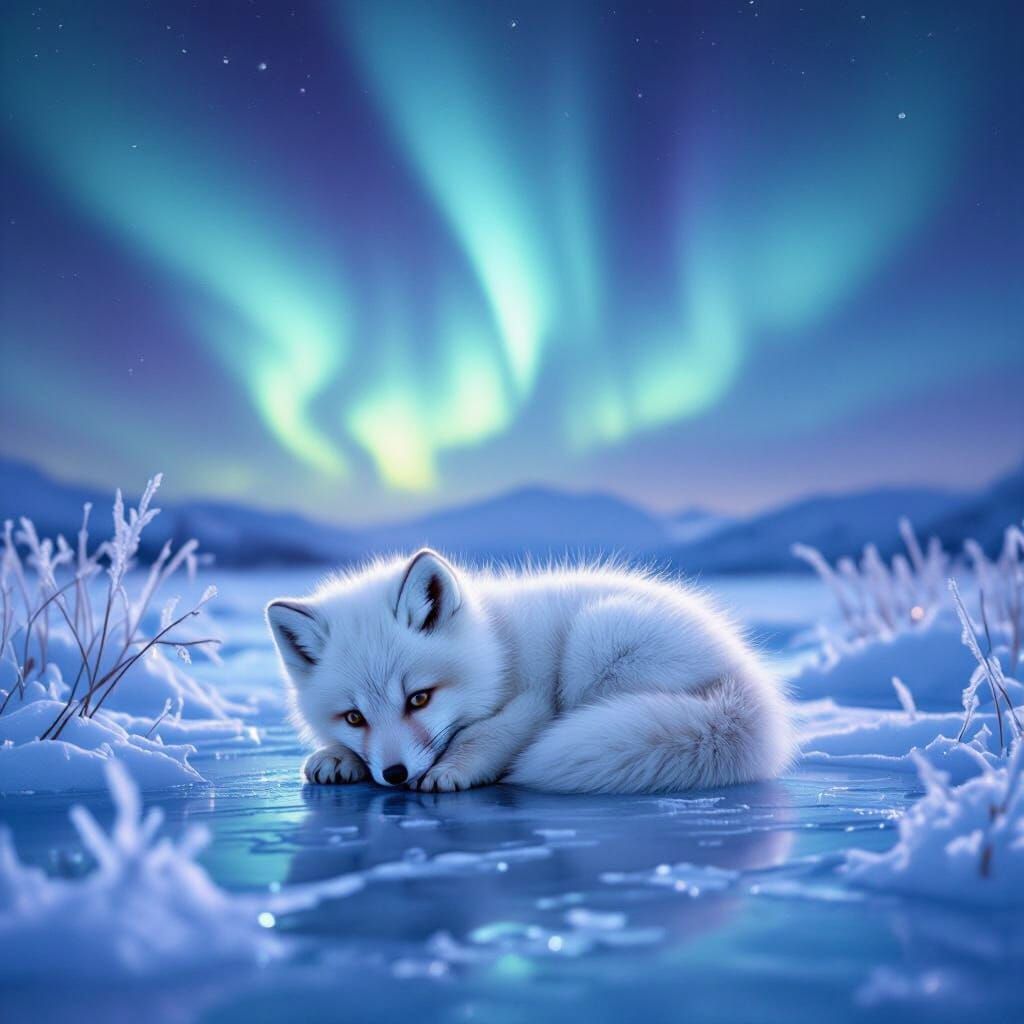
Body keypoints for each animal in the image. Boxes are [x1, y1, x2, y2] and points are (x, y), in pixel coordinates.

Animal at [266, 549, 793, 794]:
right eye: (354, 717)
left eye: (419, 698)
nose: (395, 775)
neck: (498, 648)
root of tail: (747, 682)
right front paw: (338, 756)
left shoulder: (535, 702)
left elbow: (484, 736)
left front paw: (453, 769)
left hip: (596, 636)